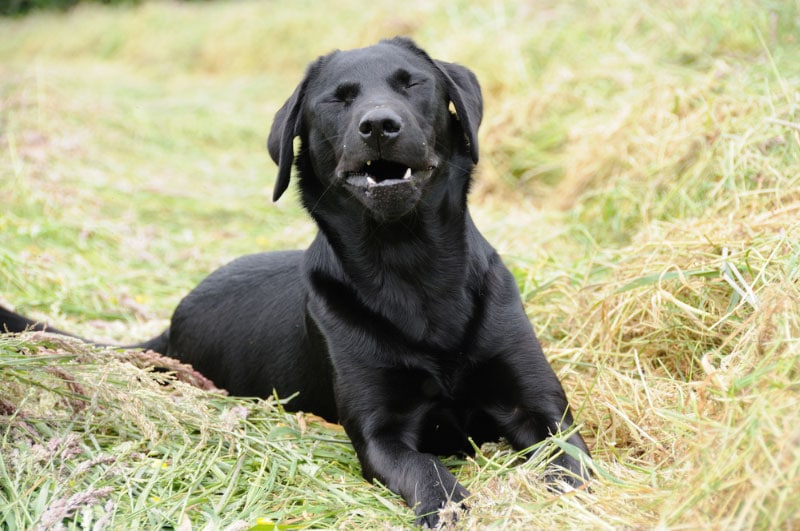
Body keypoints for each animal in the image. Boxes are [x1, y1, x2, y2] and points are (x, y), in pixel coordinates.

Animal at [3, 37, 592, 528]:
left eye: (412, 84)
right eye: (338, 100)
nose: (379, 125)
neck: (411, 267)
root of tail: (169, 328)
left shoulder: (540, 409)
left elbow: (573, 465)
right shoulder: (382, 435)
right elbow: (430, 475)